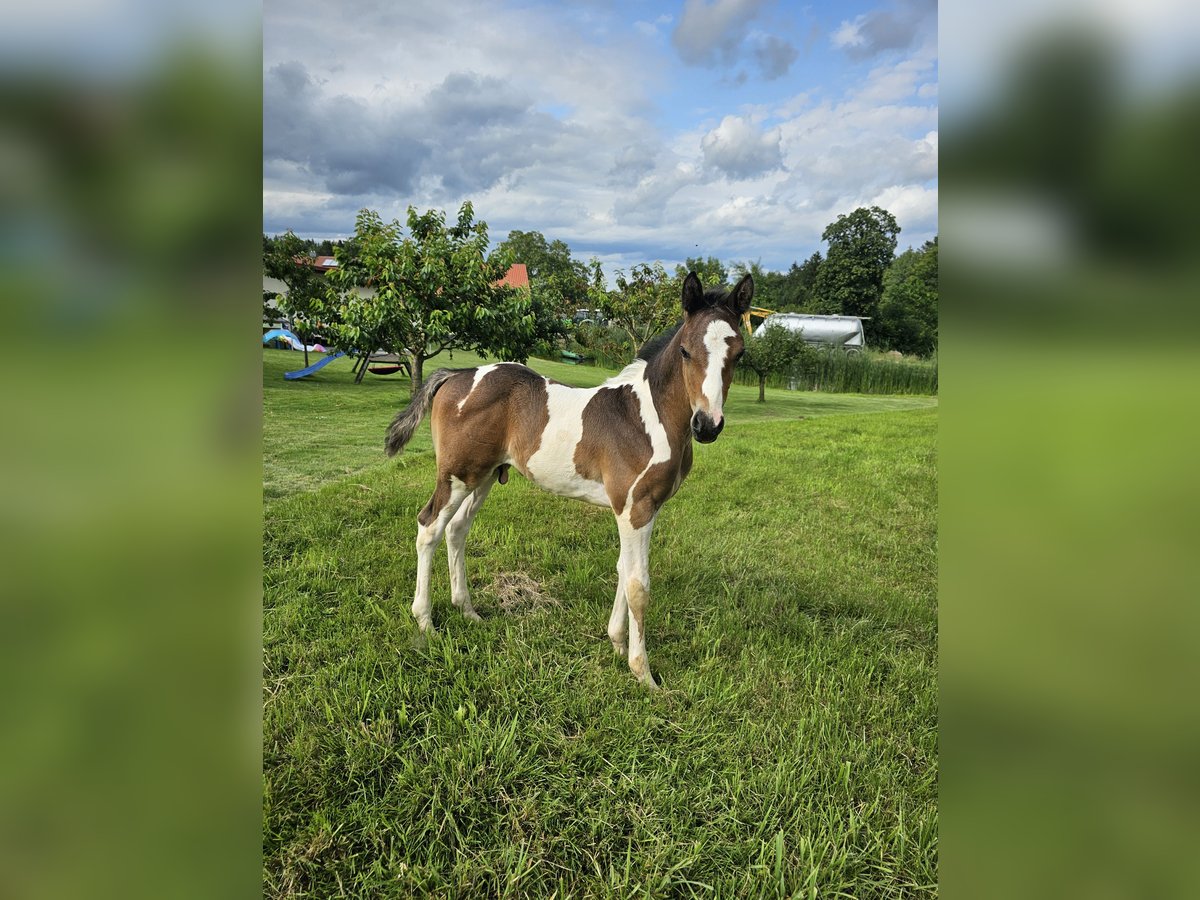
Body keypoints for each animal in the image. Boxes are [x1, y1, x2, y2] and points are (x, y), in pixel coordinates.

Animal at [384, 271, 748, 686]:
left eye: (739, 355)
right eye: (686, 351)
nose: (707, 425)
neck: (647, 418)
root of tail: (457, 375)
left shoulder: (638, 509)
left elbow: (623, 569)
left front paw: (617, 643)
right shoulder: (635, 508)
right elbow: (638, 584)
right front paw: (644, 673)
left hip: (485, 475)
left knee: (457, 529)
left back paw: (468, 610)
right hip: (457, 474)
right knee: (429, 527)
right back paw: (425, 622)